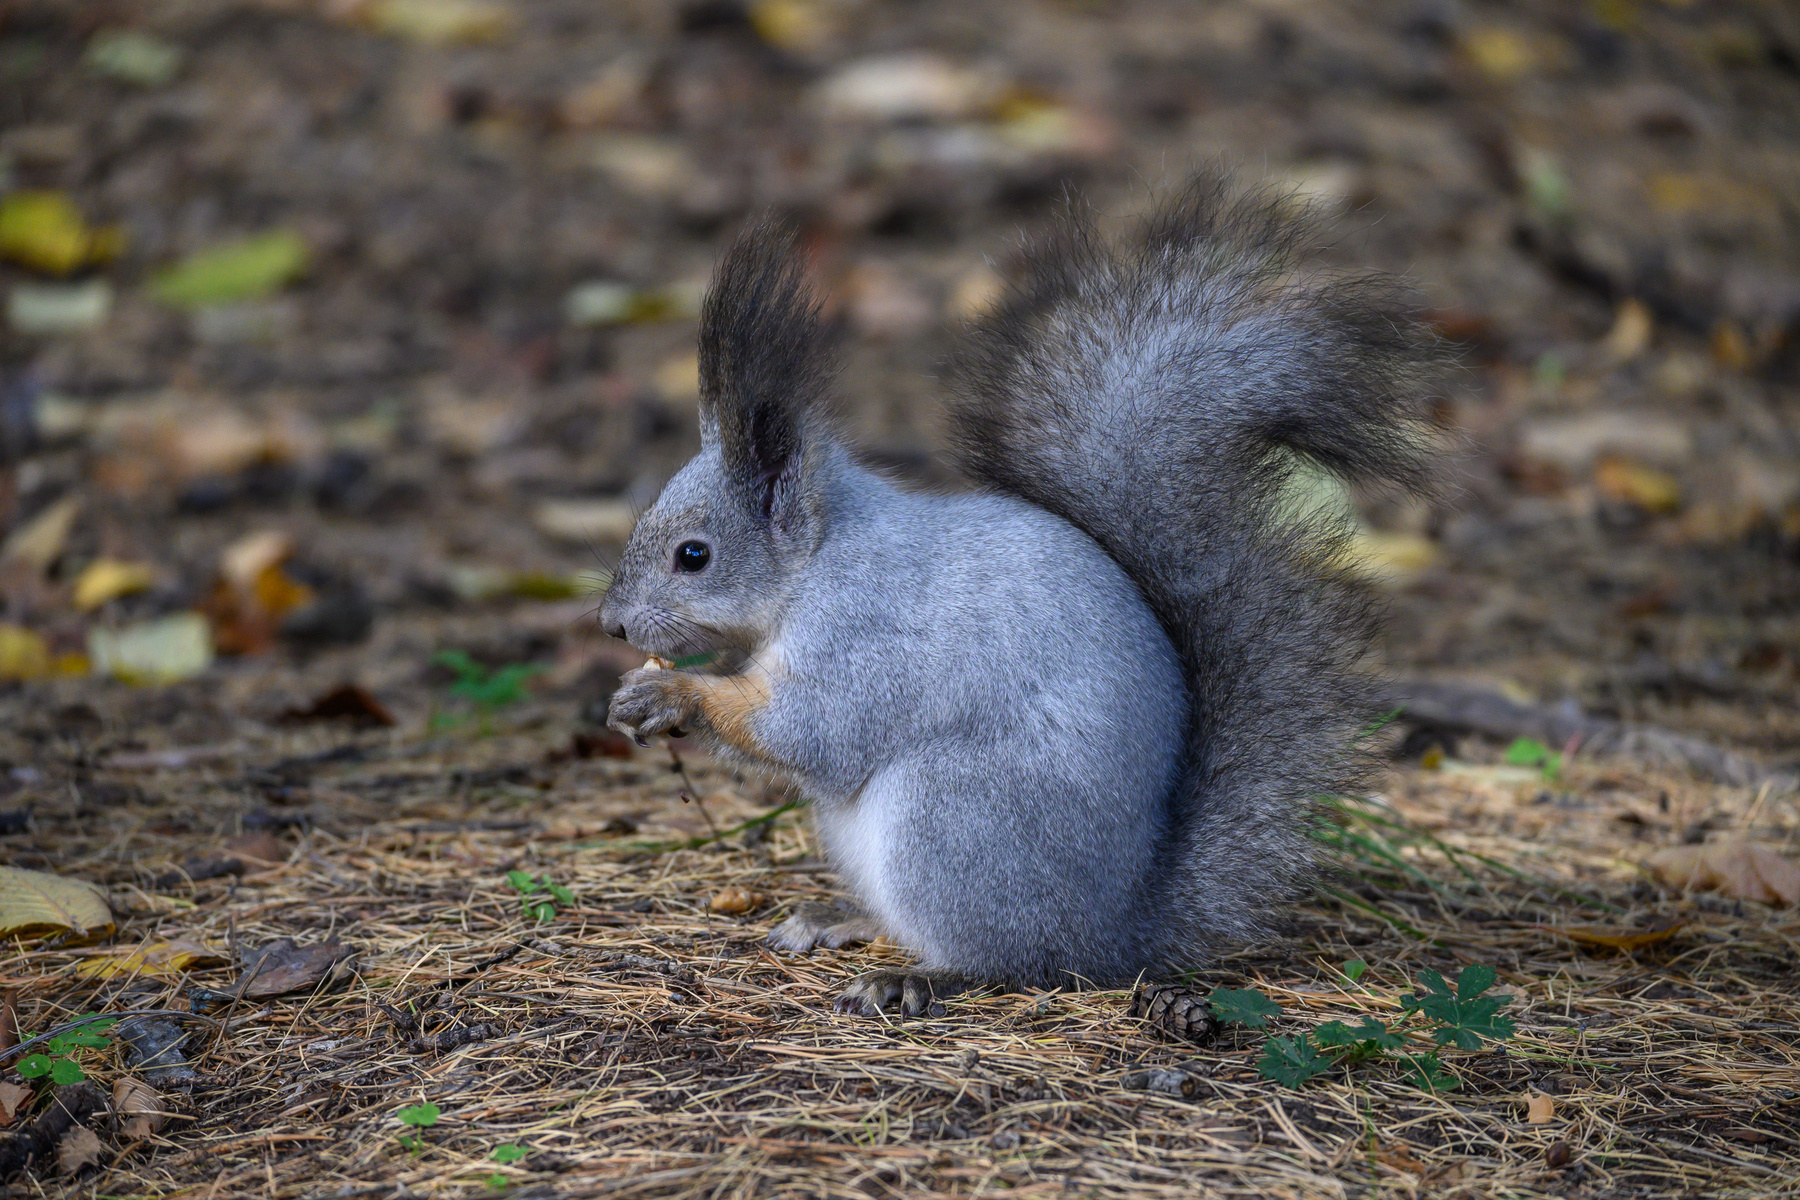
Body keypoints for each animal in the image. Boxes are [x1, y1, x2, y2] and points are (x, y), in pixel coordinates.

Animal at [599, 178, 1438, 1017]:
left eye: (693, 556)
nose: (611, 624)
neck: (819, 561)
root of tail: (1118, 928)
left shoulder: (862, 636)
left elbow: (813, 730)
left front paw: (674, 694)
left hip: (952, 816)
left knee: (1015, 960)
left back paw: (919, 975)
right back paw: (843, 919)